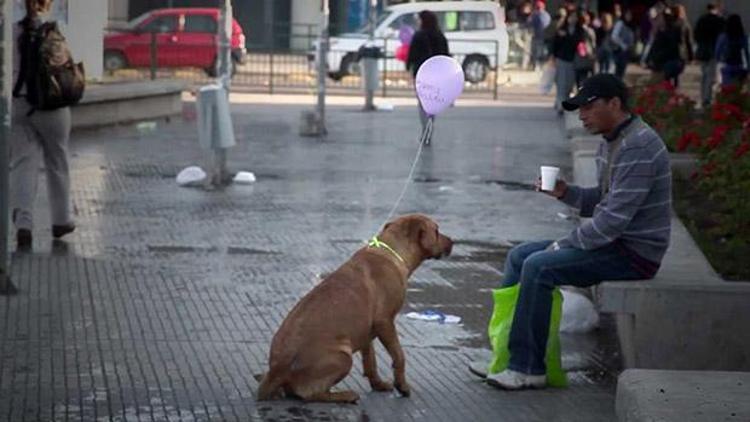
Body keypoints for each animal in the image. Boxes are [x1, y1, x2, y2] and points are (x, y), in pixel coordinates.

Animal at [258, 214, 456, 402]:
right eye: (436, 231)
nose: (453, 241)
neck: (392, 252)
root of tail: (277, 371)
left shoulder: (367, 331)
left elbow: (371, 361)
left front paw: (378, 384)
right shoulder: (385, 322)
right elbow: (399, 356)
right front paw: (402, 386)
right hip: (343, 357)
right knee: (308, 393)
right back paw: (344, 395)